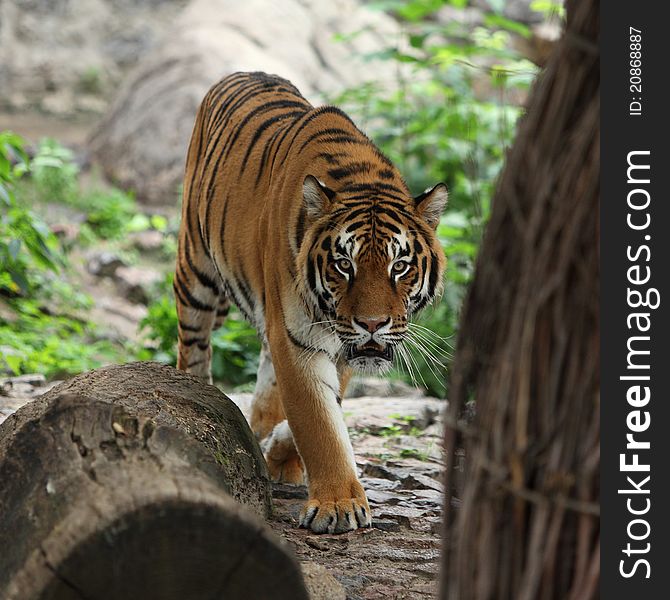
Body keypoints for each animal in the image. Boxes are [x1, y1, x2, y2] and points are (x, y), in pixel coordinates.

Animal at [173, 71, 448, 536]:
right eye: (343, 264)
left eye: (399, 266)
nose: (372, 323)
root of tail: (243, 72)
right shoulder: (298, 338)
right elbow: (318, 421)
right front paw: (338, 504)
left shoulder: (341, 345)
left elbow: (320, 407)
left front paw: (282, 451)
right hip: (195, 267)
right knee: (193, 346)